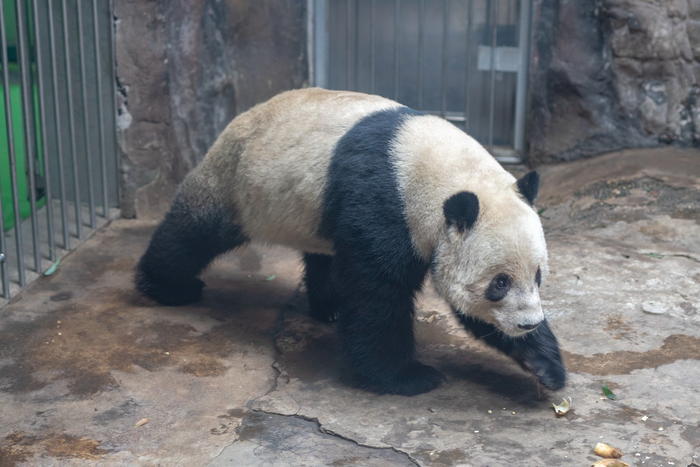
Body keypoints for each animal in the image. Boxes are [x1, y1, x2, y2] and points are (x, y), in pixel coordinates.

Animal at [135, 88, 566, 396]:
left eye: (538, 276)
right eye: (499, 283)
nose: (527, 323)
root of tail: (241, 117)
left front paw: (545, 365)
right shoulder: (385, 201)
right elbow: (377, 293)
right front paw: (407, 377)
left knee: (324, 254)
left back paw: (327, 307)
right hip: (238, 180)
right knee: (194, 232)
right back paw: (167, 287)